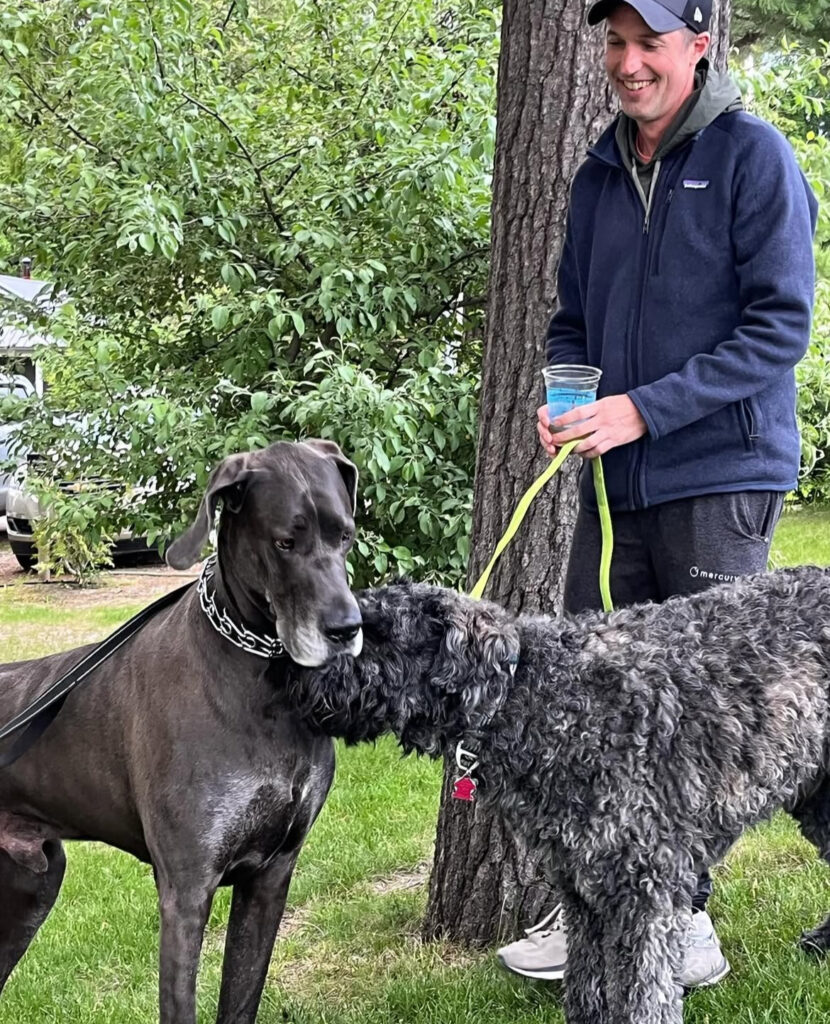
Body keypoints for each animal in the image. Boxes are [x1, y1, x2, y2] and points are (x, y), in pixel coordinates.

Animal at [0, 439, 362, 1024]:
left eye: (345, 535)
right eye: (285, 541)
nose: (346, 629)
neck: (261, 678)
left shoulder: (271, 878)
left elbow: (241, 997)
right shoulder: (187, 891)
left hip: (30, 886)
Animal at [287, 569, 830, 1024]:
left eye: (374, 634)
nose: (294, 669)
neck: (533, 696)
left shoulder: (645, 893)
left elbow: (643, 997)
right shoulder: (579, 885)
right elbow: (587, 982)